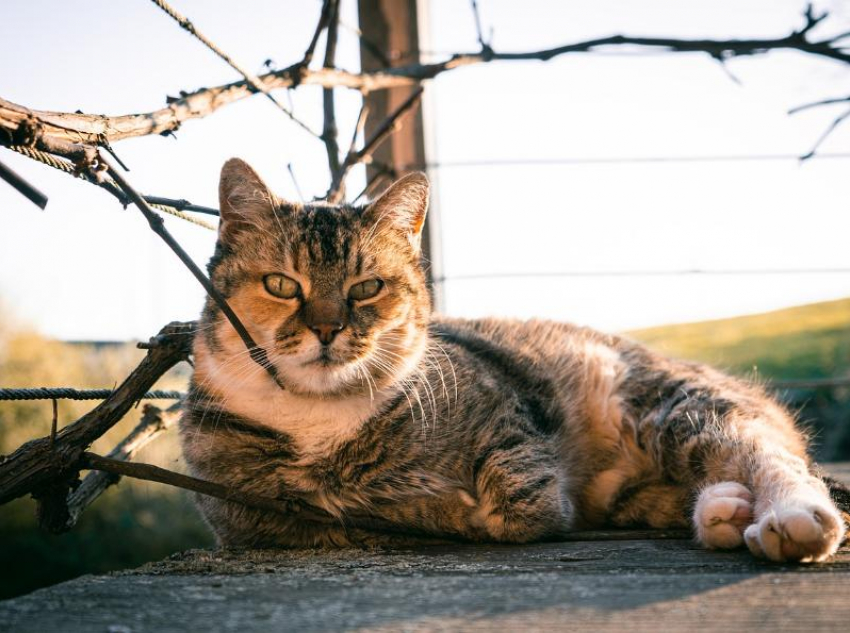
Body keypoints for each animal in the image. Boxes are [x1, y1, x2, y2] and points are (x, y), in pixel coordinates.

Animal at [179, 158, 840, 564]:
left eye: (366, 288)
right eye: (281, 285)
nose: (326, 328)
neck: (321, 419)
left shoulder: (508, 406)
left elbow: (521, 492)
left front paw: (487, 506)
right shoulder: (253, 514)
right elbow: (333, 516)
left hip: (677, 407)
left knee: (771, 454)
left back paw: (791, 517)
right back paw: (725, 509)